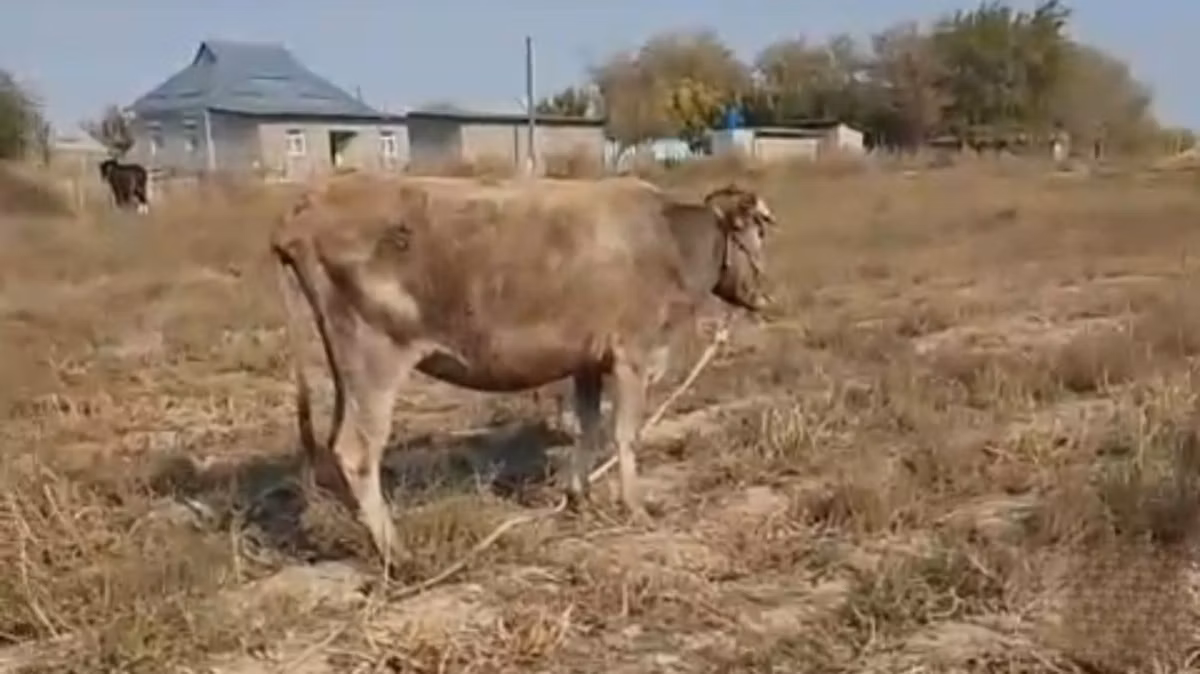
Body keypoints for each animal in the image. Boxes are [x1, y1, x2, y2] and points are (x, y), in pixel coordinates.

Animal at [271, 174, 775, 563]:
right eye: (760, 232)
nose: (766, 296)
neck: (669, 239)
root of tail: (311, 204)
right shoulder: (633, 353)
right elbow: (624, 435)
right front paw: (634, 508)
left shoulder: (588, 359)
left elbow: (587, 427)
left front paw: (578, 498)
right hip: (374, 356)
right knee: (357, 450)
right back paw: (396, 553)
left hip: (345, 366)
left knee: (337, 443)